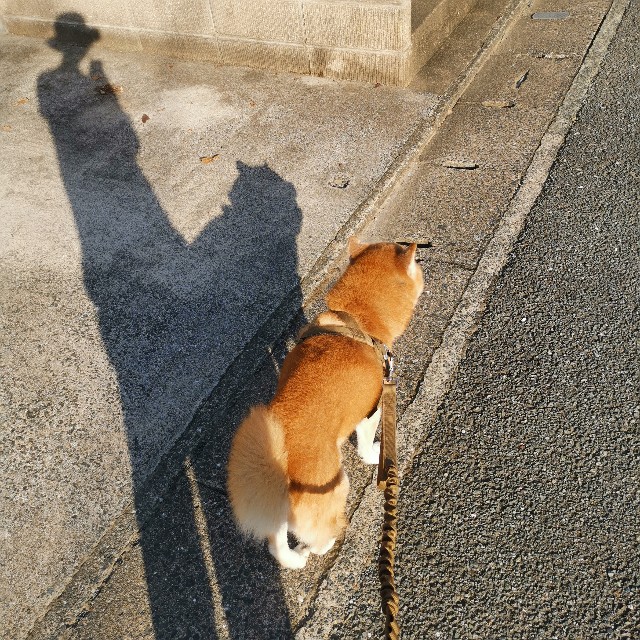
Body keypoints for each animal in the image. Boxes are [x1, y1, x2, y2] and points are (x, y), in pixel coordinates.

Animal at [226, 238, 423, 568]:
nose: (423, 264)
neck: (358, 318)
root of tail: (279, 464)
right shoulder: (372, 410)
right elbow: (366, 443)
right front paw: (374, 455)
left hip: (280, 515)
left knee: (277, 546)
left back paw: (295, 559)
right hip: (335, 490)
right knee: (319, 539)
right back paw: (324, 543)